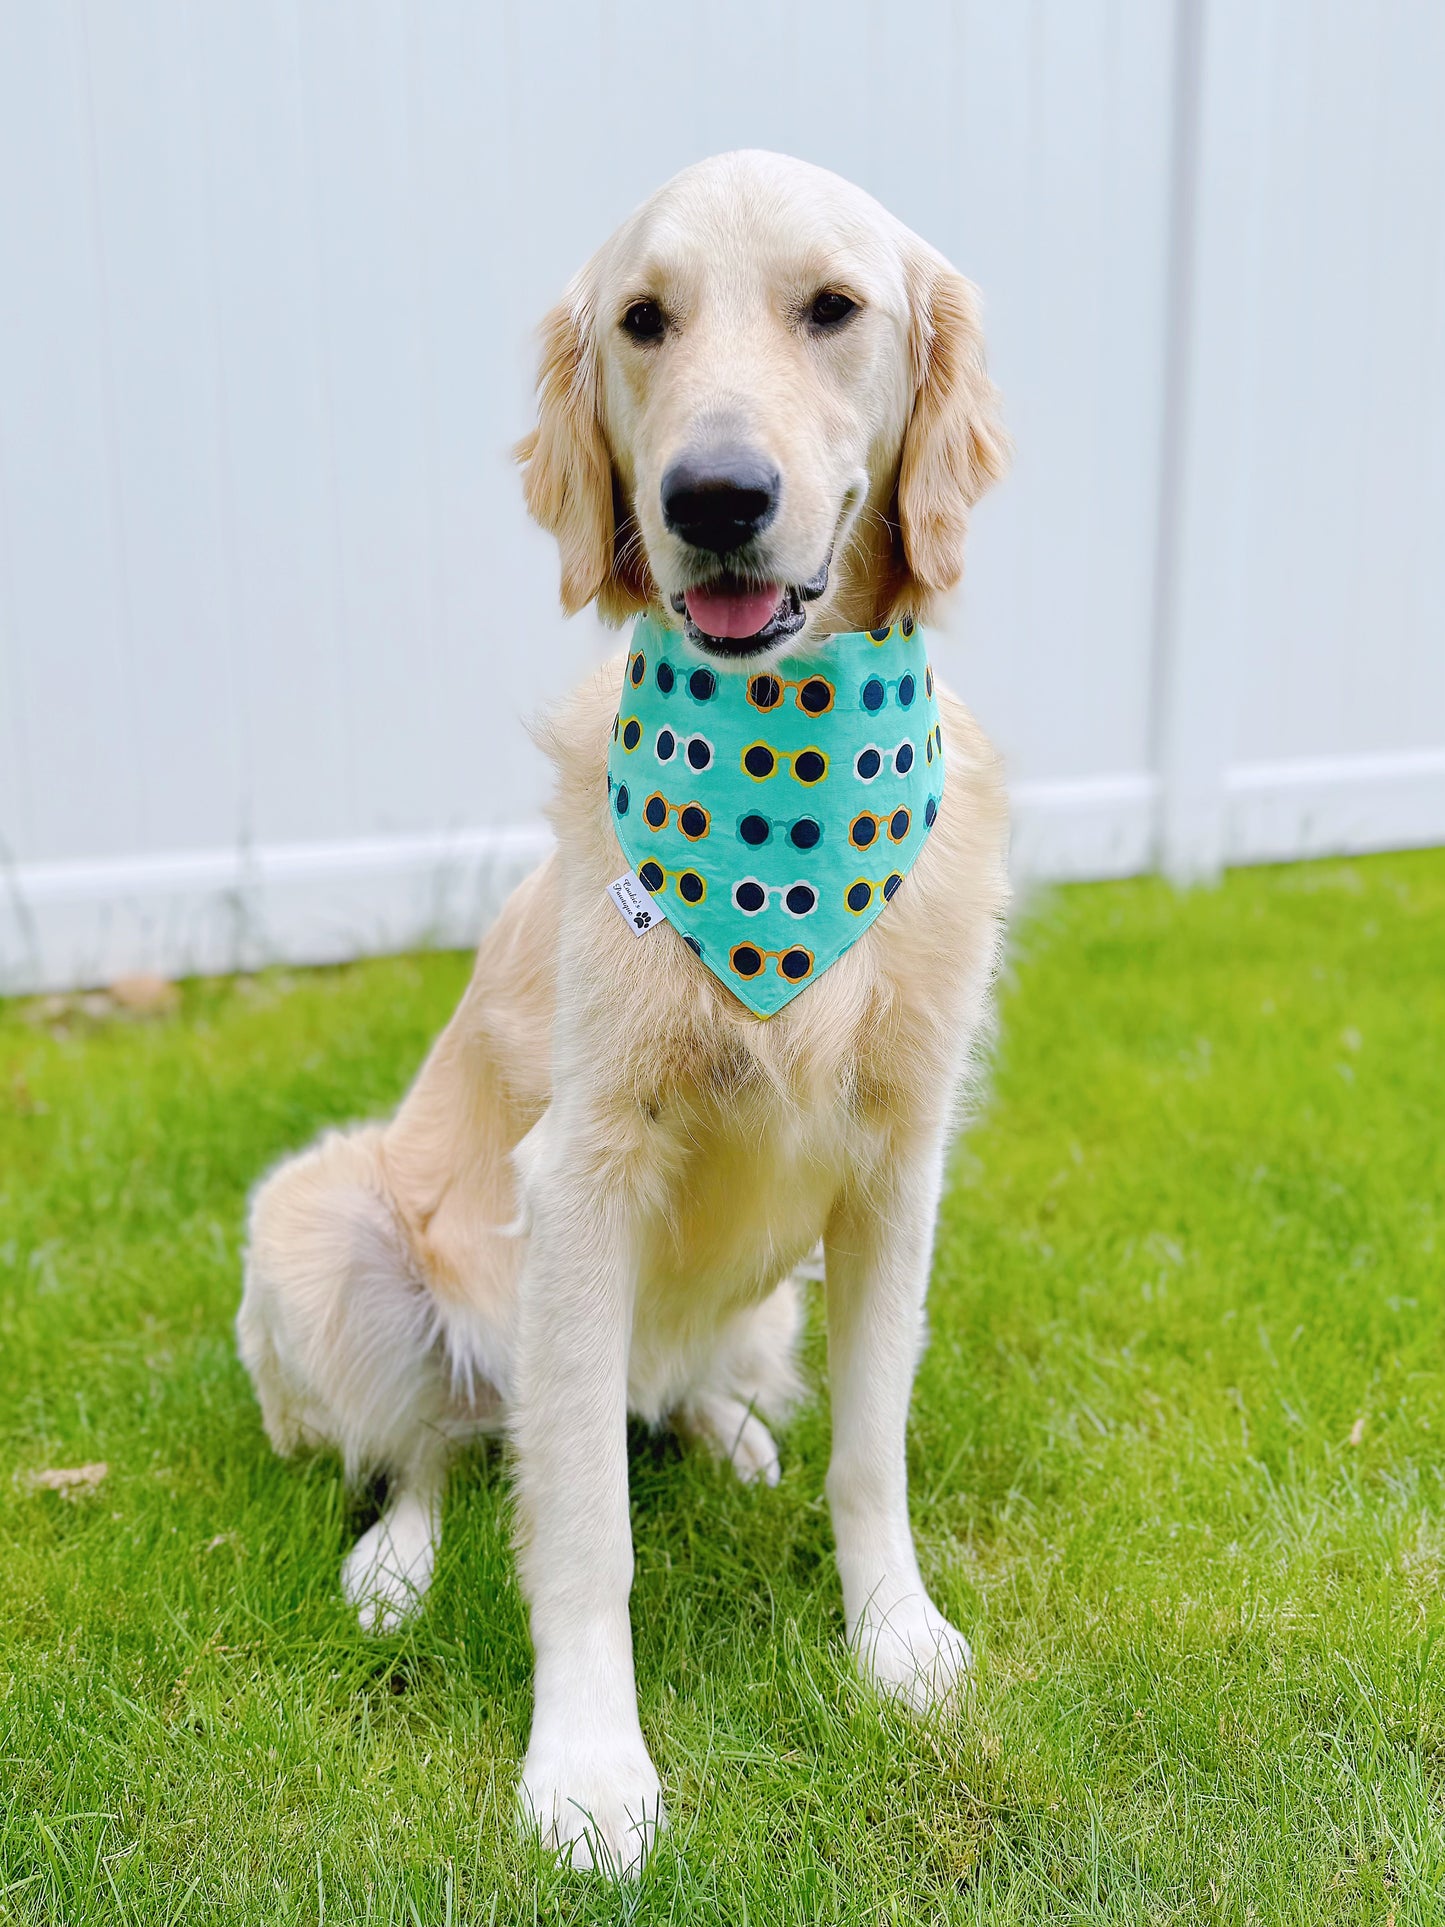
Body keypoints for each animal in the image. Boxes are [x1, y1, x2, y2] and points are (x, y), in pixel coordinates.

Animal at [240, 154, 1009, 1880]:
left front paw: (894, 1639)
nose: (713, 496)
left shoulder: (899, 1167)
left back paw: (726, 1424)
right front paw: (589, 1766)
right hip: (323, 1225)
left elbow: (873, 1449)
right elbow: (580, 1521)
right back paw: (395, 1563)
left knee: (674, 1390)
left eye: (833, 308)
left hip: (769, 1295)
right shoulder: (581, 1178)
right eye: (642, 321)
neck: (784, 777)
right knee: (440, 1444)